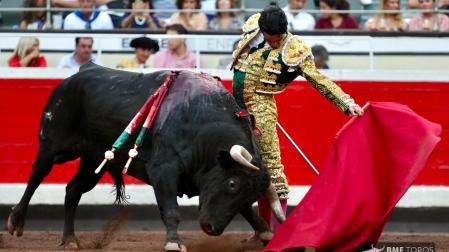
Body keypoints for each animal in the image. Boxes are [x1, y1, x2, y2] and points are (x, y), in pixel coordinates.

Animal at [7, 63, 284, 250]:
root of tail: (78, 73)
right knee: (36, 175)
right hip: (52, 144)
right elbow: (171, 210)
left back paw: (70, 239)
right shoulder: (163, 170)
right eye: (232, 183)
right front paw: (174, 243)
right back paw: (16, 222)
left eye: (251, 194)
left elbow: (249, 212)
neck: (203, 122)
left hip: (93, 160)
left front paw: (265, 233)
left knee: (73, 191)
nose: (211, 228)